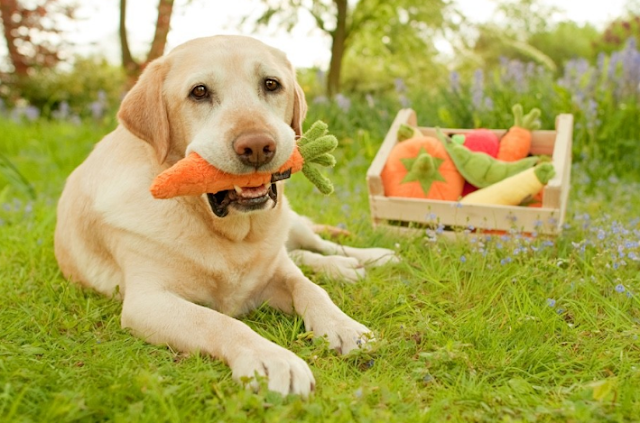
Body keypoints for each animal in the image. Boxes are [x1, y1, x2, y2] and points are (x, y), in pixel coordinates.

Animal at [55, 35, 396, 398]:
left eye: (271, 84)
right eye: (199, 92)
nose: (258, 146)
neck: (230, 233)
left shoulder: (274, 273)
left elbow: (309, 287)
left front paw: (344, 327)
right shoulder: (147, 302)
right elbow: (217, 320)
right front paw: (271, 359)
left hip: (289, 223)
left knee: (314, 246)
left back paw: (365, 259)